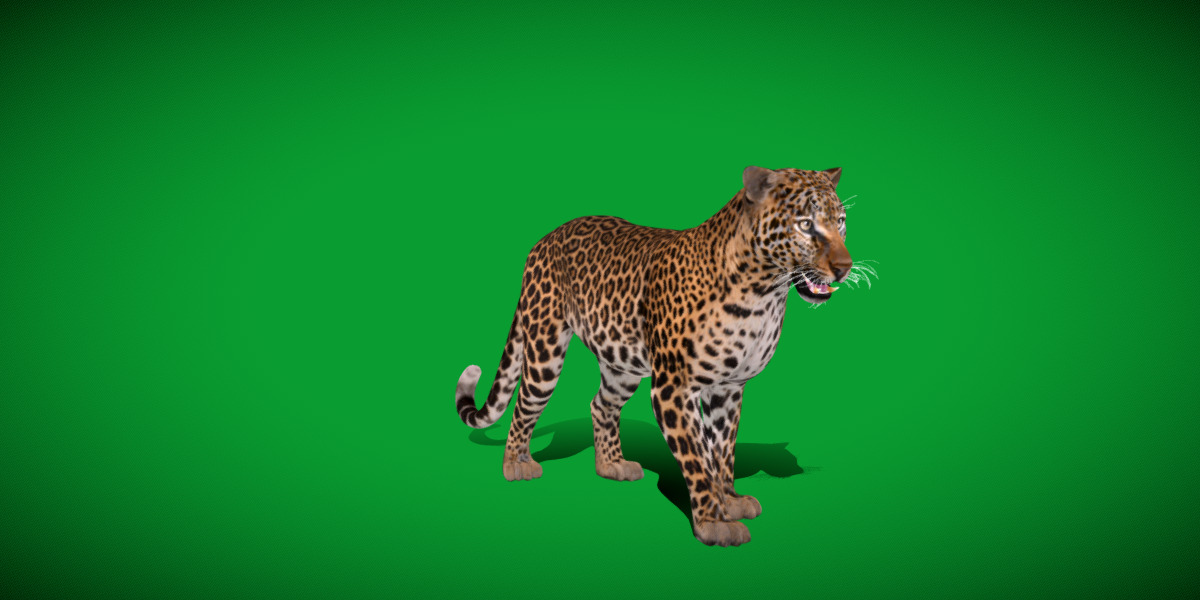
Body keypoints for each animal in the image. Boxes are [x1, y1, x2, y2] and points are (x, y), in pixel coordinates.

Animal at [455, 166, 855, 547]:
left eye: (840, 221)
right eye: (805, 224)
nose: (845, 267)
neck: (765, 293)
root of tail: (544, 239)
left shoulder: (729, 389)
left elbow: (723, 451)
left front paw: (729, 500)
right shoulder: (674, 389)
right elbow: (698, 458)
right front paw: (713, 523)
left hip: (622, 363)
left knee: (600, 405)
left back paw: (612, 465)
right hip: (545, 348)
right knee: (525, 402)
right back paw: (516, 464)